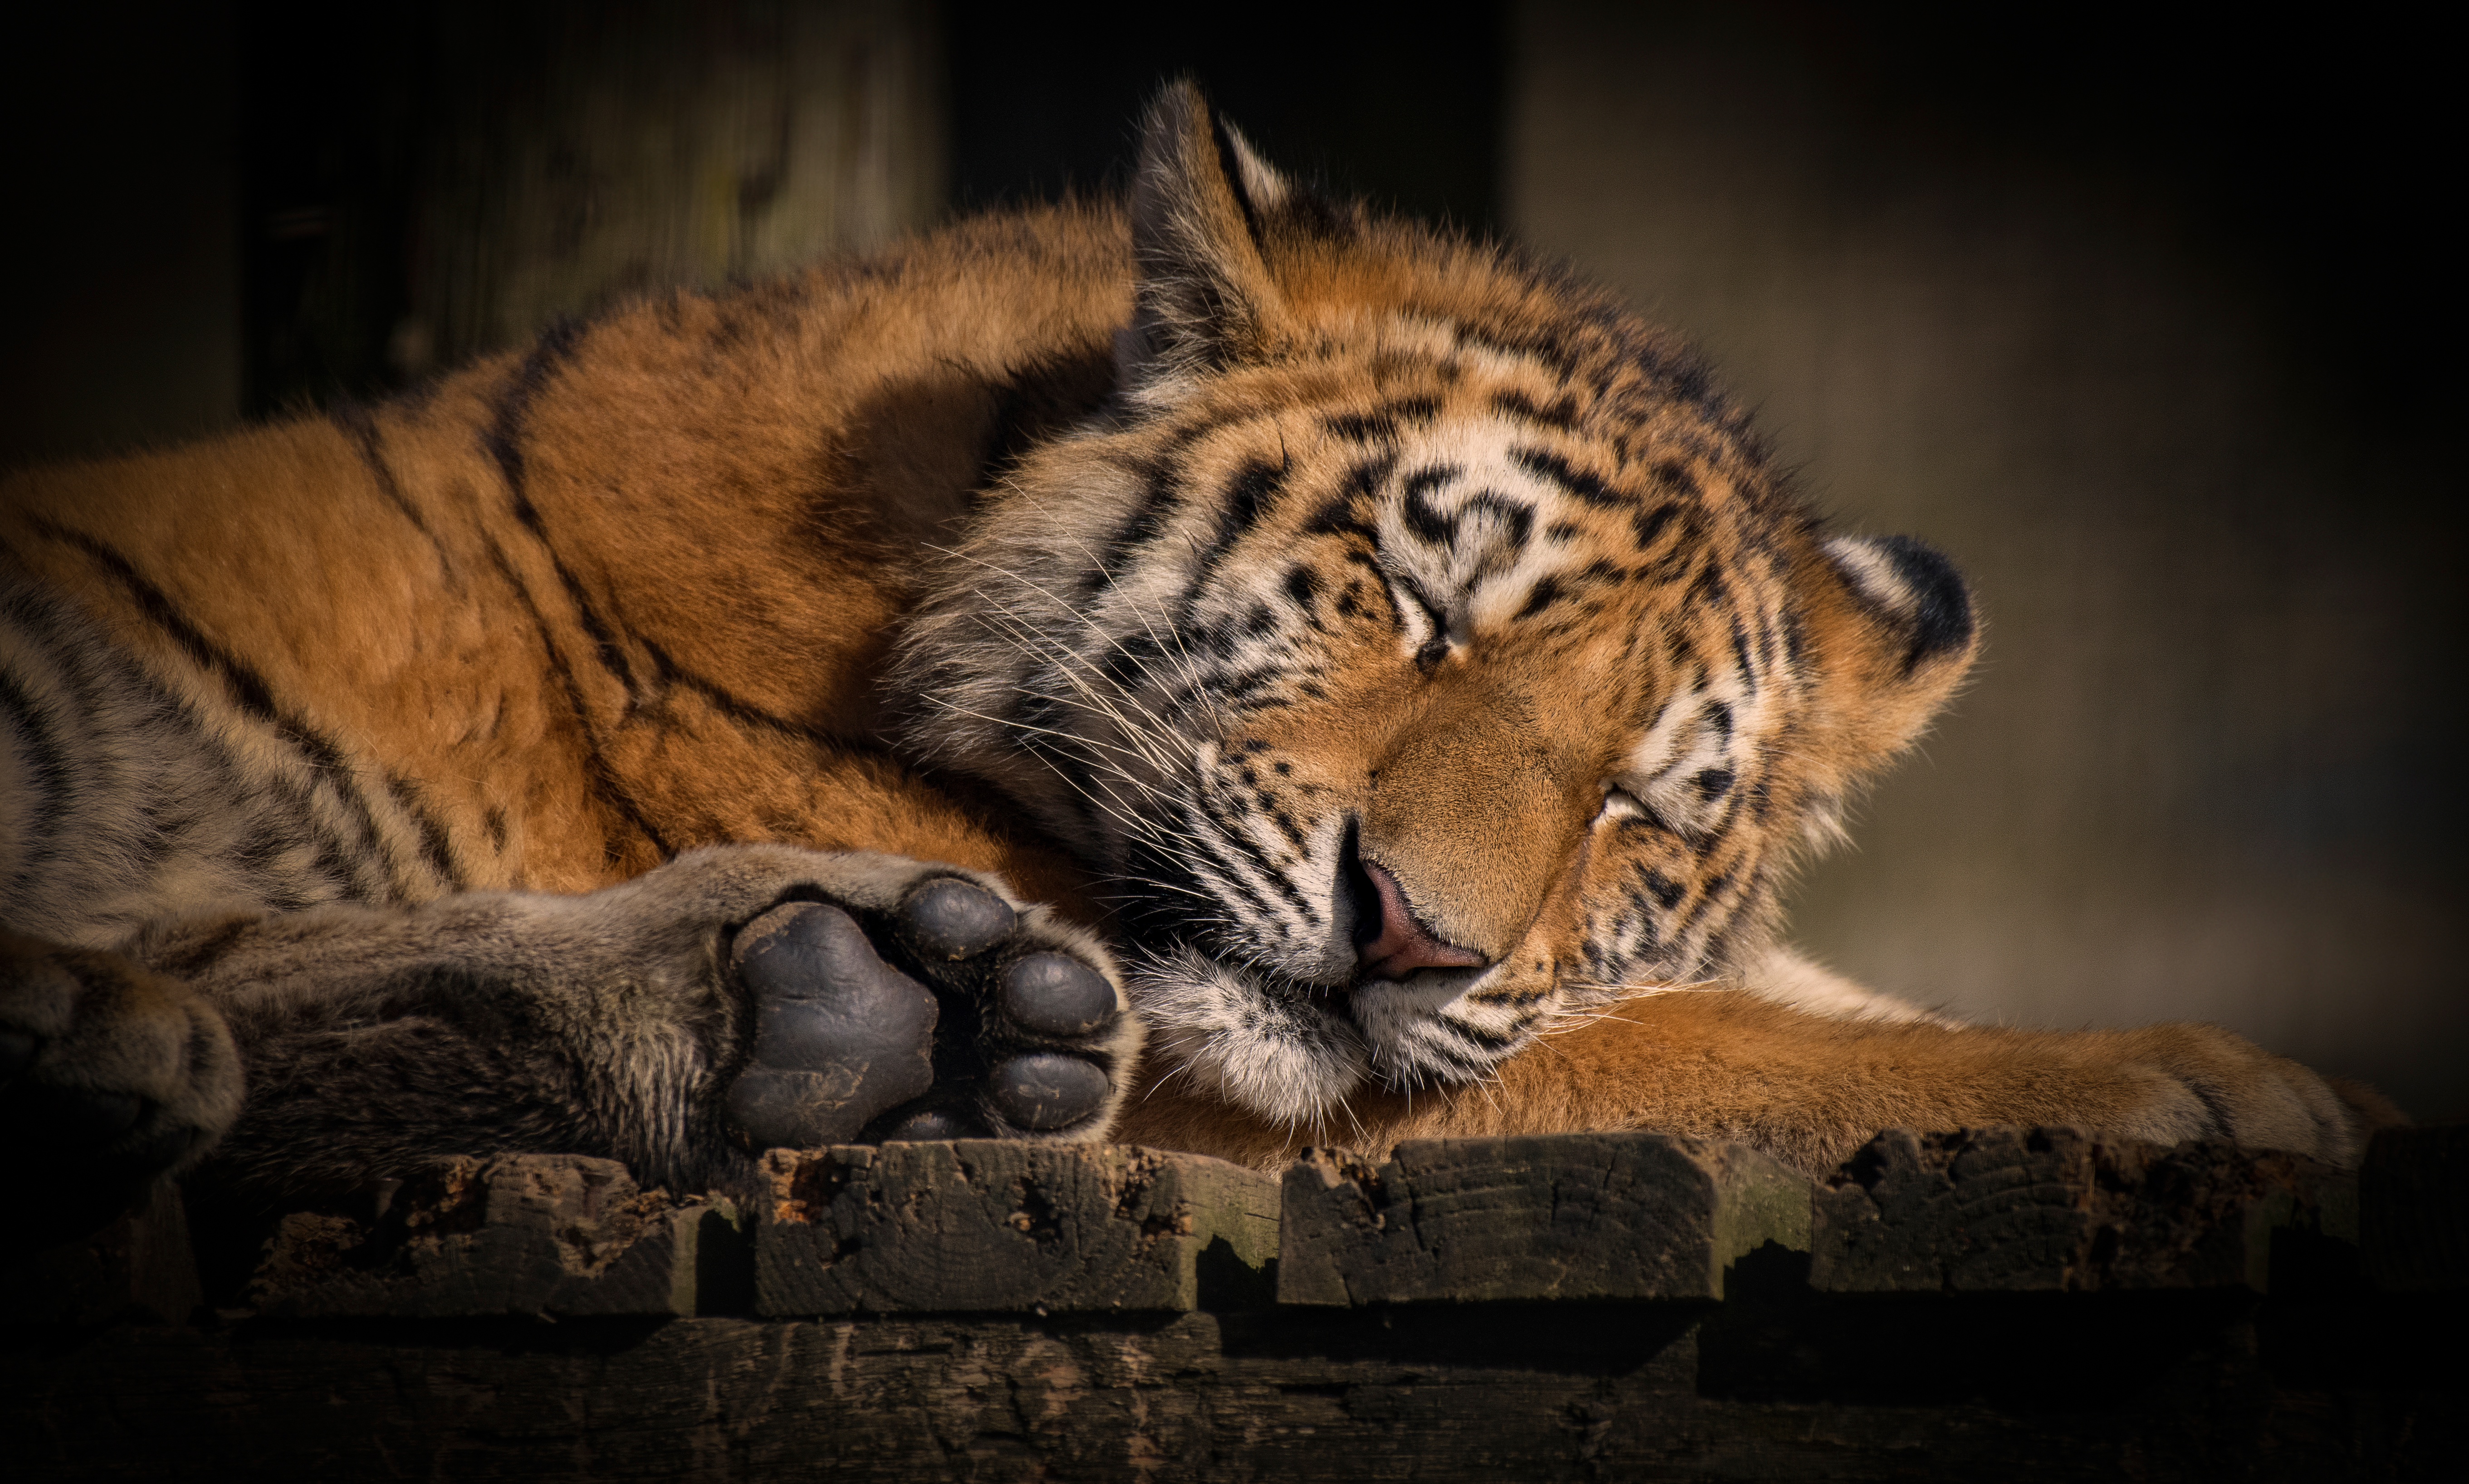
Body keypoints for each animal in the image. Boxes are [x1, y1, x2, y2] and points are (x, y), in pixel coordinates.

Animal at [0, 87, 2390, 1215]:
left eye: (1635, 798)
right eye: (1418, 606)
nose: (1408, 933)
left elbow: (1780, 994)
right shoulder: (1270, 1080)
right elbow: (1727, 1046)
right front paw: (2202, 1082)